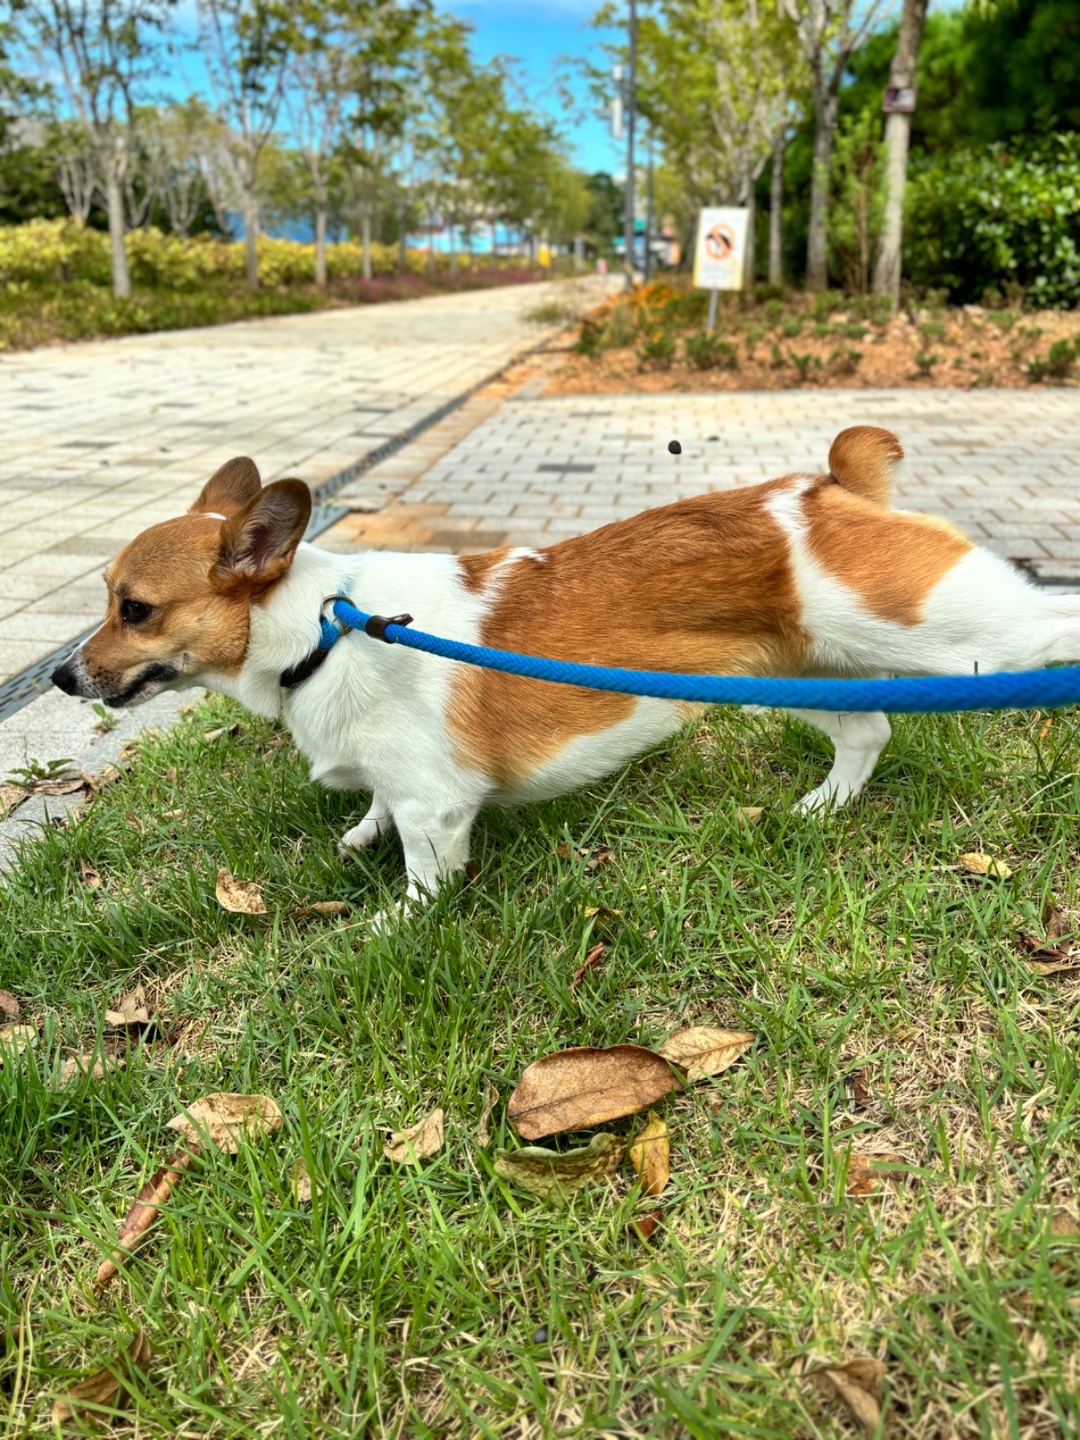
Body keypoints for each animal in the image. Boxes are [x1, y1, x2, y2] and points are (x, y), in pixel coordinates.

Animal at [52, 426, 1080, 915]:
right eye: (102, 596)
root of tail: (834, 488)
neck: (324, 626)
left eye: (133, 609)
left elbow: (422, 881)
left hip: (951, 635)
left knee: (1047, 627)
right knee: (869, 728)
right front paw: (360, 832)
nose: (62, 680)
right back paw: (823, 810)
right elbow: (376, 808)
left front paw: (387, 927)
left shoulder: (438, 809)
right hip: (797, 670)